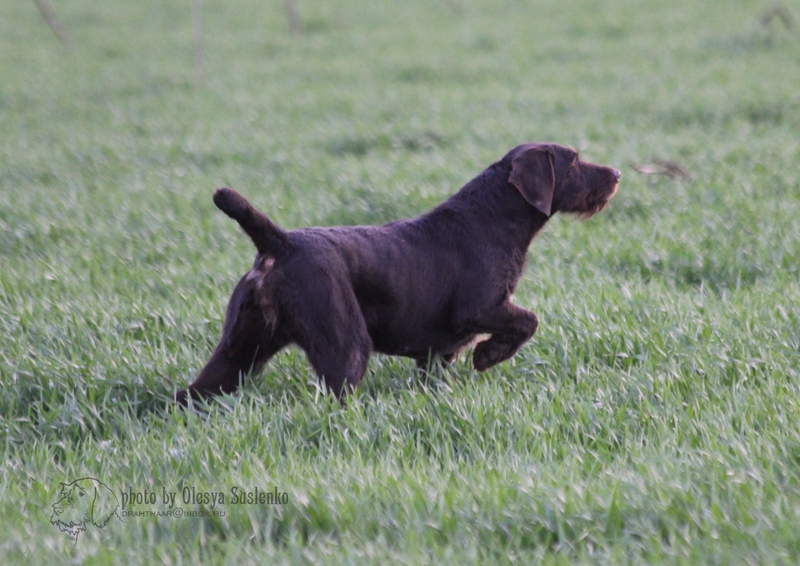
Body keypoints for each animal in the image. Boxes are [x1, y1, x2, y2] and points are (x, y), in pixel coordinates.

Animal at [178, 144, 620, 406]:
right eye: (574, 160)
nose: (616, 174)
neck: (492, 218)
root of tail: (280, 244)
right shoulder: (481, 307)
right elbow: (529, 320)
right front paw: (488, 355)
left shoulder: (436, 354)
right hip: (346, 346)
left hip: (239, 350)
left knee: (192, 393)